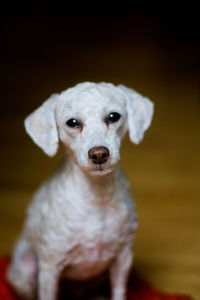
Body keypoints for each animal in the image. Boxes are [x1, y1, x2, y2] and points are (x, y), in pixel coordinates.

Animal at [7, 82, 154, 300]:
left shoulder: (122, 258)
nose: (99, 154)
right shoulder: (50, 266)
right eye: (72, 123)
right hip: (25, 273)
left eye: (113, 116)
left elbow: (118, 292)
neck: (96, 195)